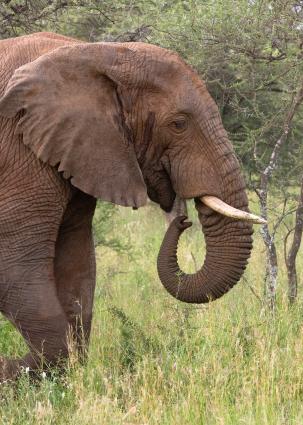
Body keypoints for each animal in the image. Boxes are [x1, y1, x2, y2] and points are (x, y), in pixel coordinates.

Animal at [0, 31, 264, 380]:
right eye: (179, 124)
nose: (182, 221)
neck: (99, 53)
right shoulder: (19, 153)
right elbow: (14, 269)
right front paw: (11, 371)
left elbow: (78, 267)